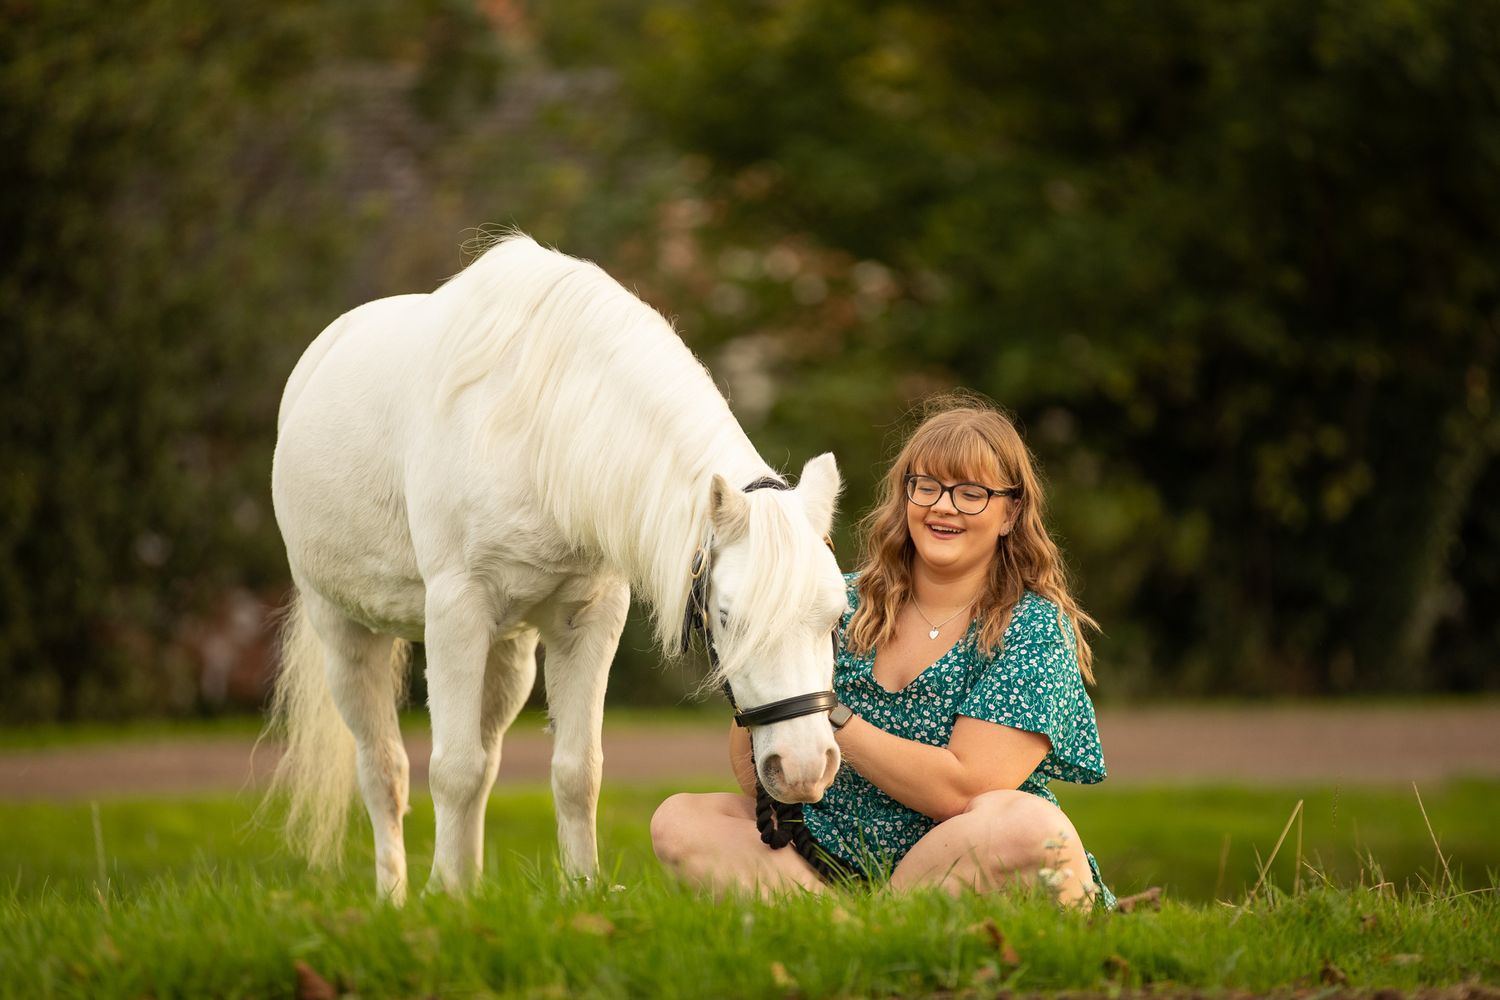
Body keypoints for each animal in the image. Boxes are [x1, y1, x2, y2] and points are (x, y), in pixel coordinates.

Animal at [266, 234, 846, 903]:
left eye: (836, 617)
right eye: (726, 617)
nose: (804, 768)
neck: (540, 433)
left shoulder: (588, 619)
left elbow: (576, 770)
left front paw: (580, 889)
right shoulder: (455, 612)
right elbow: (451, 768)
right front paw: (445, 896)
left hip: (508, 654)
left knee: (486, 758)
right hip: (344, 631)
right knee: (385, 769)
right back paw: (398, 898)